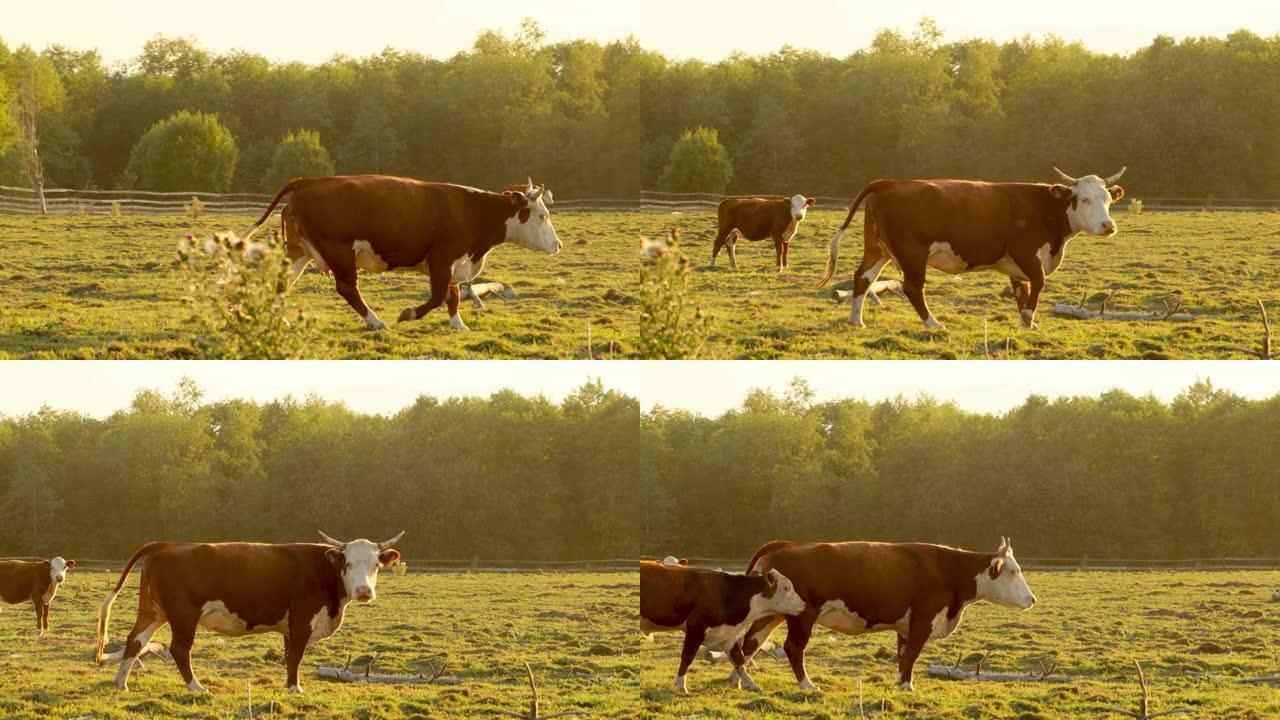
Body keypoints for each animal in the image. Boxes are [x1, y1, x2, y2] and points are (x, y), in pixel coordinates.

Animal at [96, 530, 401, 691]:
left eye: (375, 565)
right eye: (347, 563)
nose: (364, 592)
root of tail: (167, 545)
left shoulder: (289, 625)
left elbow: (289, 656)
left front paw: (289, 685)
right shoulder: (302, 620)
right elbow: (297, 656)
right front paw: (295, 688)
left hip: (152, 612)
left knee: (135, 641)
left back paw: (120, 683)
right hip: (183, 616)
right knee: (179, 649)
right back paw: (196, 687)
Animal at [247, 174, 558, 330]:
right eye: (542, 216)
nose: (558, 245)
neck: (471, 211)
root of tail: (308, 182)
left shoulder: (454, 264)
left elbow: (454, 295)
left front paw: (458, 325)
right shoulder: (442, 259)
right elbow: (438, 296)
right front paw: (408, 313)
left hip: (299, 251)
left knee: (281, 284)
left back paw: (283, 320)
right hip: (339, 253)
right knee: (347, 288)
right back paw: (376, 321)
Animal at [645, 556, 803, 691]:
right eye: (787, 588)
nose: (804, 604)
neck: (726, 592)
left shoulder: (728, 634)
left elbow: (739, 660)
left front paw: (751, 684)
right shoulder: (696, 628)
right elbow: (687, 657)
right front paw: (680, 685)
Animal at [742, 535, 1029, 686]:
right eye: (1015, 572)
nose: (1032, 599)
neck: (948, 570)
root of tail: (788, 545)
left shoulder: (905, 625)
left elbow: (903, 655)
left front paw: (900, 682)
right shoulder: (923, 620)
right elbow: (912, 654)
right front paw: (907, 687)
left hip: (773, 614)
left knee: (750, 642)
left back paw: (741, 680)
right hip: (802, 616)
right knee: (792, 648)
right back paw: (807, 685)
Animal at [824, 167, 1126, 327]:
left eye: (1108, 199)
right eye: (1084, 199)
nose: (1108, 226)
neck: (1044, 207)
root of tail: (890, 183)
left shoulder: (1016, 266)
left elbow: (1022, 291)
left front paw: (1026, 323)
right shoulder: (1026, 254)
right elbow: (1038, 284)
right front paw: (1029, 318)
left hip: (878, 249)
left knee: (862, 278)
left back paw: (856, 320)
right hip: (912, 253)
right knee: (912, 287)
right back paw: (933, 324)